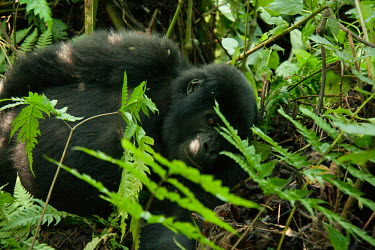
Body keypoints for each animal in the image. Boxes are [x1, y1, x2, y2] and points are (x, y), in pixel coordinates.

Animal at [0, 30, 258, 249]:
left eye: (227, 140)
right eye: (212, 121)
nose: (210, 148)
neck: (167, 110)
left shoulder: (229, 175)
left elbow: (176, 221)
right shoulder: (146, 54)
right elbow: (47, 68)